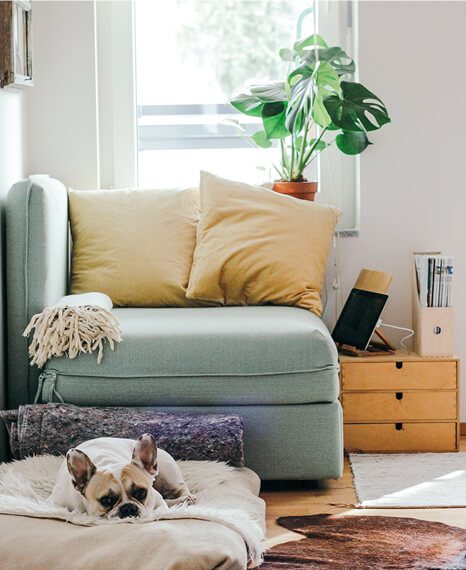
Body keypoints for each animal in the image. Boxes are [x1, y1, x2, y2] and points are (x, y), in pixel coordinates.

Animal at [50, 432, 196, 516]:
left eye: (141, 493)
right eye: (106, 500)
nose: (128, 508)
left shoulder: (157, 499)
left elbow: (161, 505)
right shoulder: (54, 503)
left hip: (170, 475)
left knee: (181, 489)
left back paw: (186, 499)